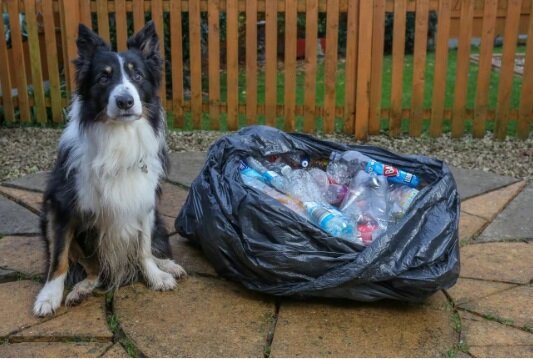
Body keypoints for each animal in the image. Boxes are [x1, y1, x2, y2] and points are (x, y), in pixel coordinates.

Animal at [33, 21, 186, 318]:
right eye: (103, 78)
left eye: (137, 75)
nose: (125, 101)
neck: (118, 138)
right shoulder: (62, 206)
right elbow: (59, 257)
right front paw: (48, 296)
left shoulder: (143, 200)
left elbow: (144, 249)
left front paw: (155, 275)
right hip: (52, 221)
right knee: (93, 269)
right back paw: (80, 290)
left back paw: (167, 265)